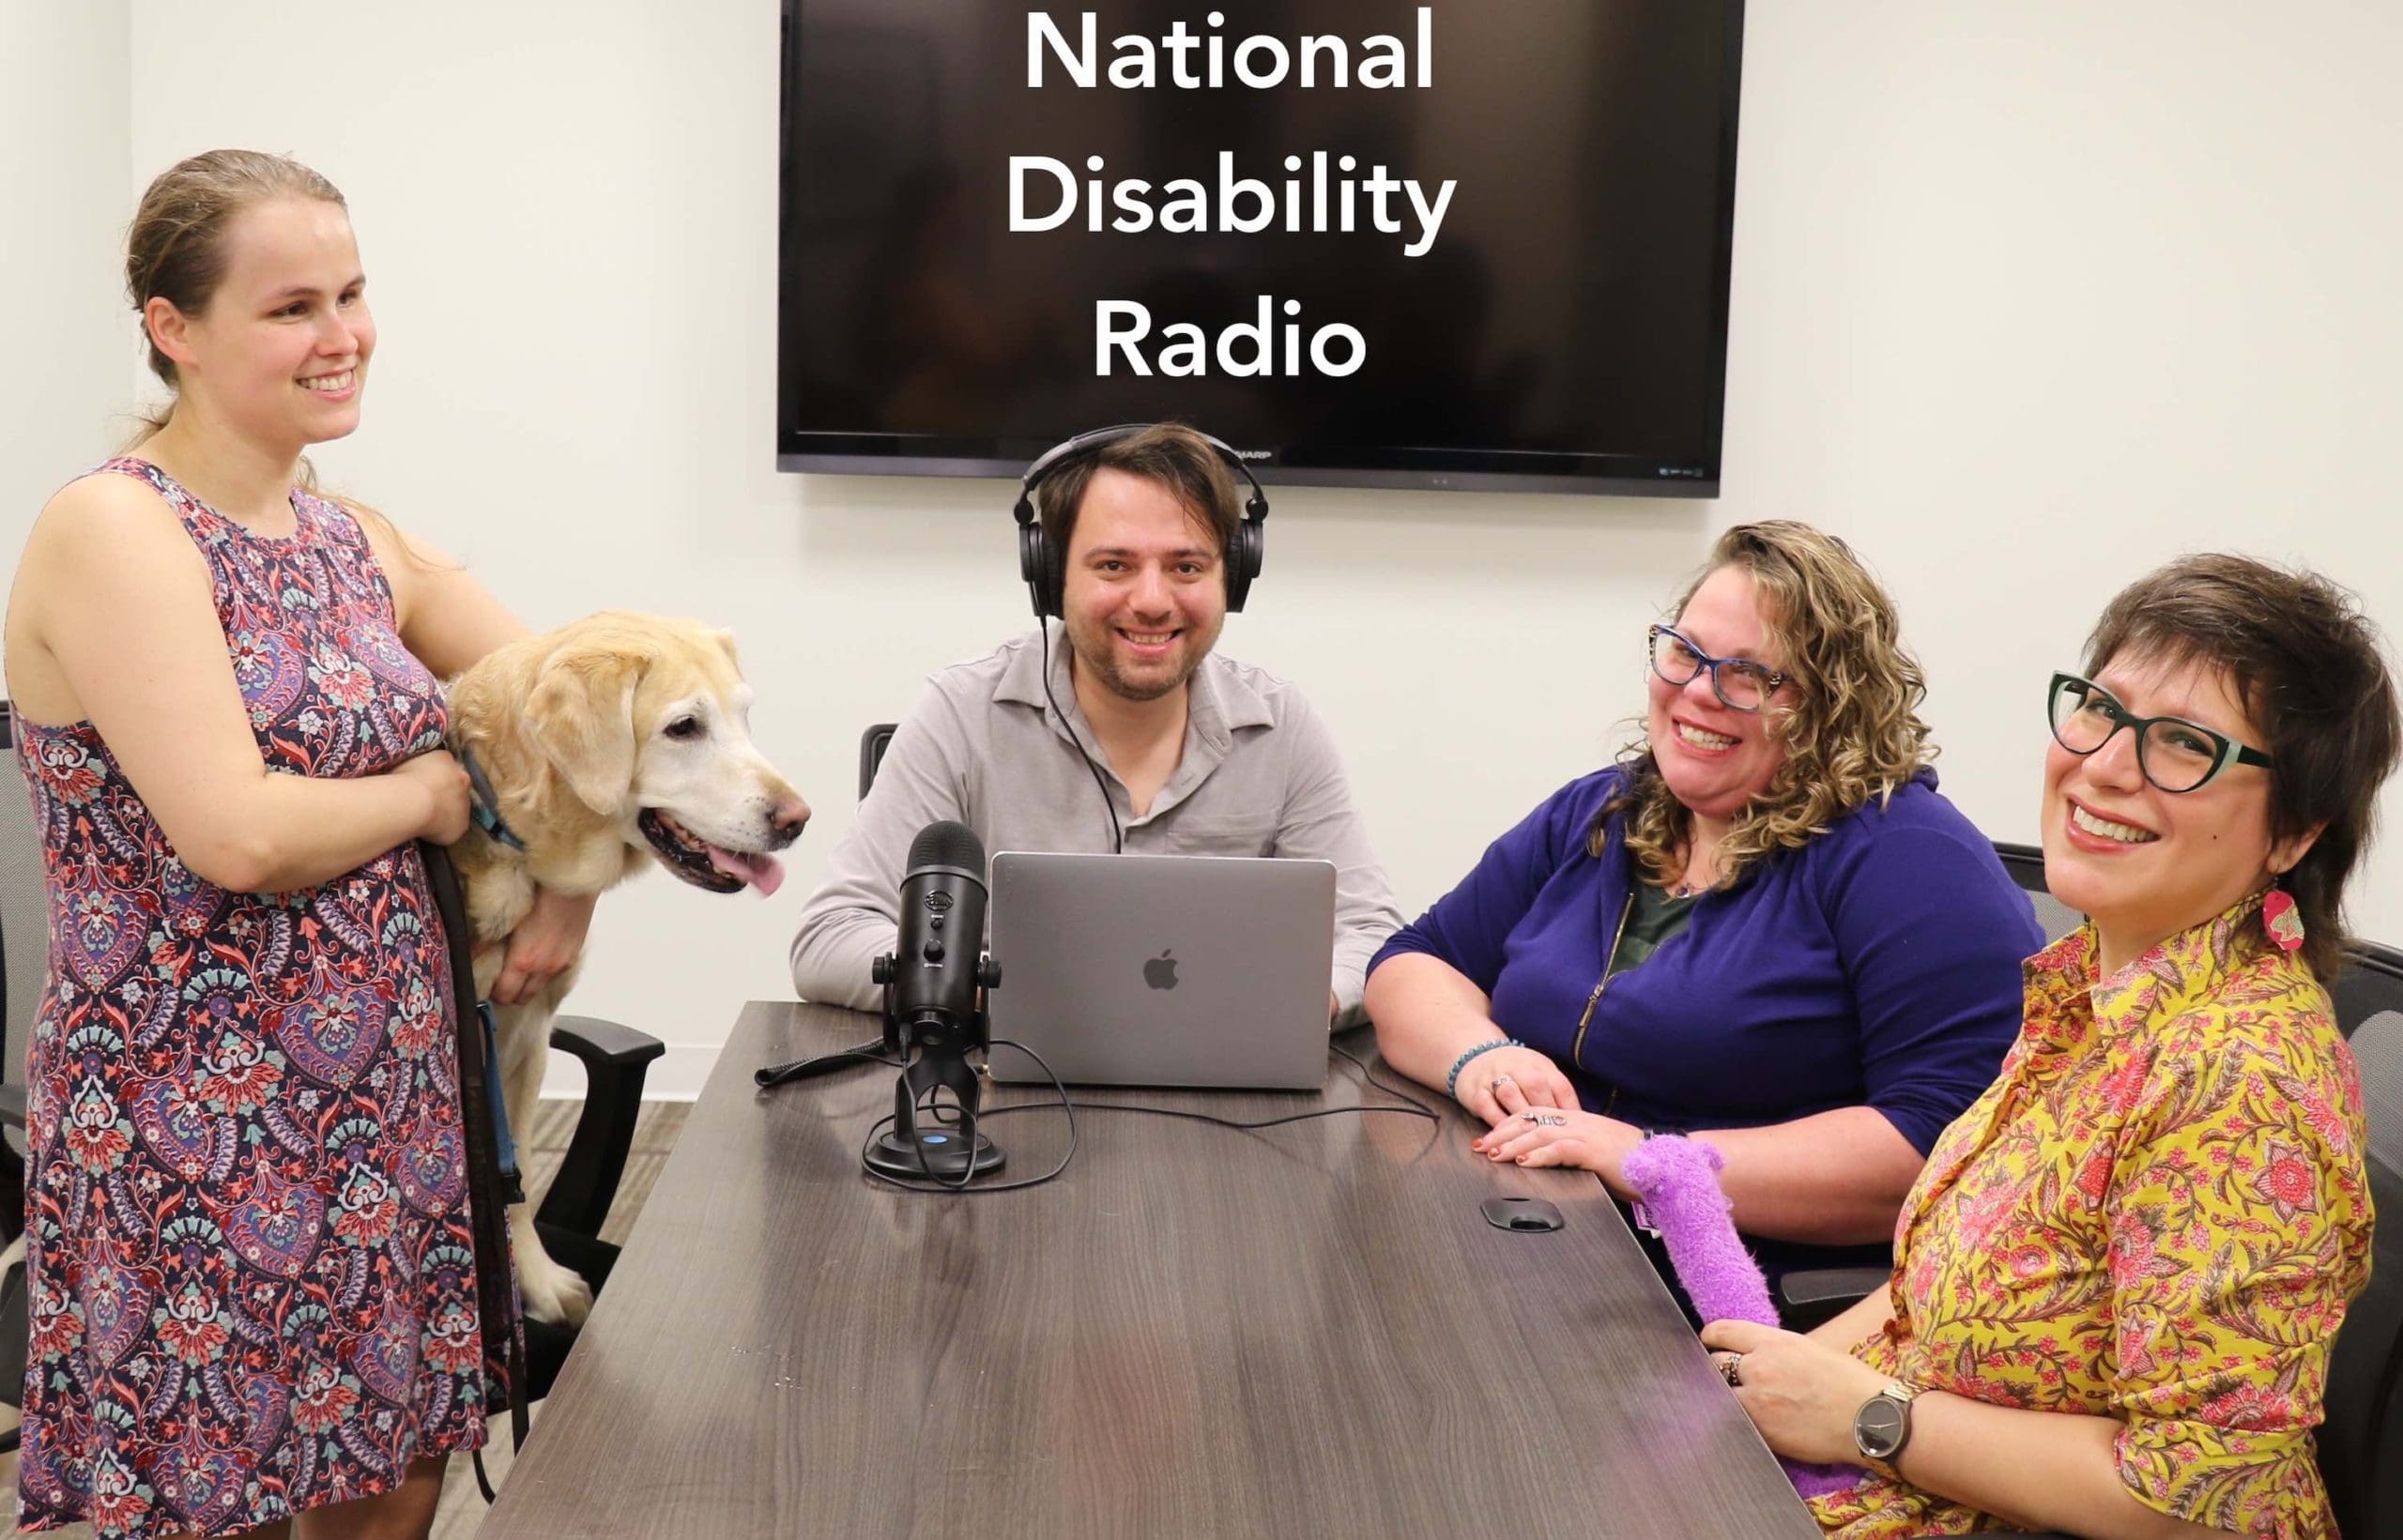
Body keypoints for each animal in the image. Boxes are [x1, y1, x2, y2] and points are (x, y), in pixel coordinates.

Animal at [452, 612, 817, 1326]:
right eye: (684, 727)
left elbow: (518, 1180)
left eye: (744, 715)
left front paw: (536, 1282)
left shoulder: (524, 1038)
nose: (797, 819)